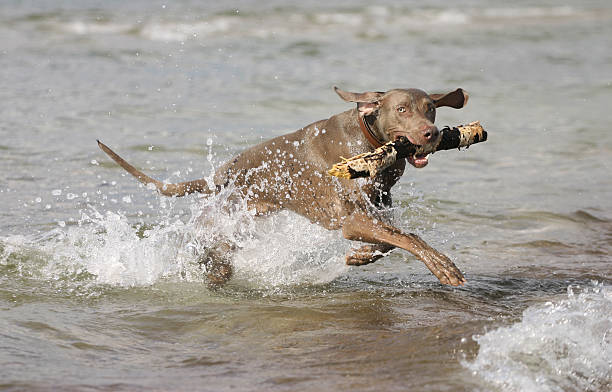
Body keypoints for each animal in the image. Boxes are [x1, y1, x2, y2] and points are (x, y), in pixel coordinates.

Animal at [98, 87, 468, 286]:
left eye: (431, 109)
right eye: (402, 109)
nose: (431, 134)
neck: (367, 138)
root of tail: (220, 174)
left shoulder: (376, 213)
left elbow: (390, 243)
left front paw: (361, 257)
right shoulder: (353, 220)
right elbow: (412, 239)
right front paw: (443, 266)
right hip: (223, 224)